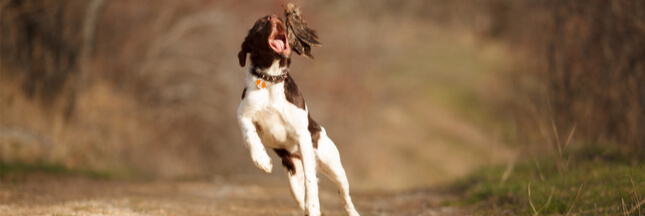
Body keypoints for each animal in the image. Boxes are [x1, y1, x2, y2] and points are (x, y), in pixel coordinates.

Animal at [236, 13, 360, 216]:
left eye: (276, 19)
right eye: (260, 24)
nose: (273, 16)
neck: (272, 80)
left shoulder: (302, 135)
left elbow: (311, 182)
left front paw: (313, 205)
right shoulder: (243, 113)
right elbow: (249, 135)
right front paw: (261, 160)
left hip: (334, 166)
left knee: (345, 196)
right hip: (294, 182)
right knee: (301, 197)